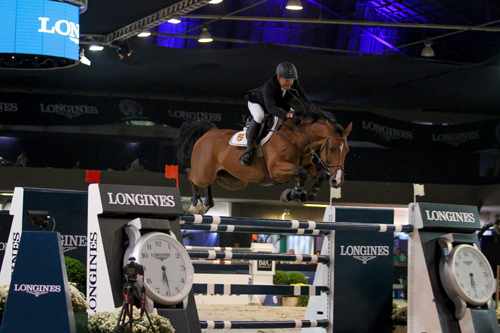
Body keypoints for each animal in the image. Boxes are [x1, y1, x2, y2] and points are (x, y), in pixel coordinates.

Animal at [176, 109, 352, 213]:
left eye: (347, 150)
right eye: (332, 149)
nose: (337, 181)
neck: (297, 137)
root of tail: (208, 133)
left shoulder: (305, 166)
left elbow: (319, 173)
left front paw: (305, 195)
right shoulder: (277, 170)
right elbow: (301, 173)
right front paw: (292, 194)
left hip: (233, 180)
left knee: (213, 181)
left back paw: (207, 202)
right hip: (204, 172)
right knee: (191, 174)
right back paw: (196, 203)